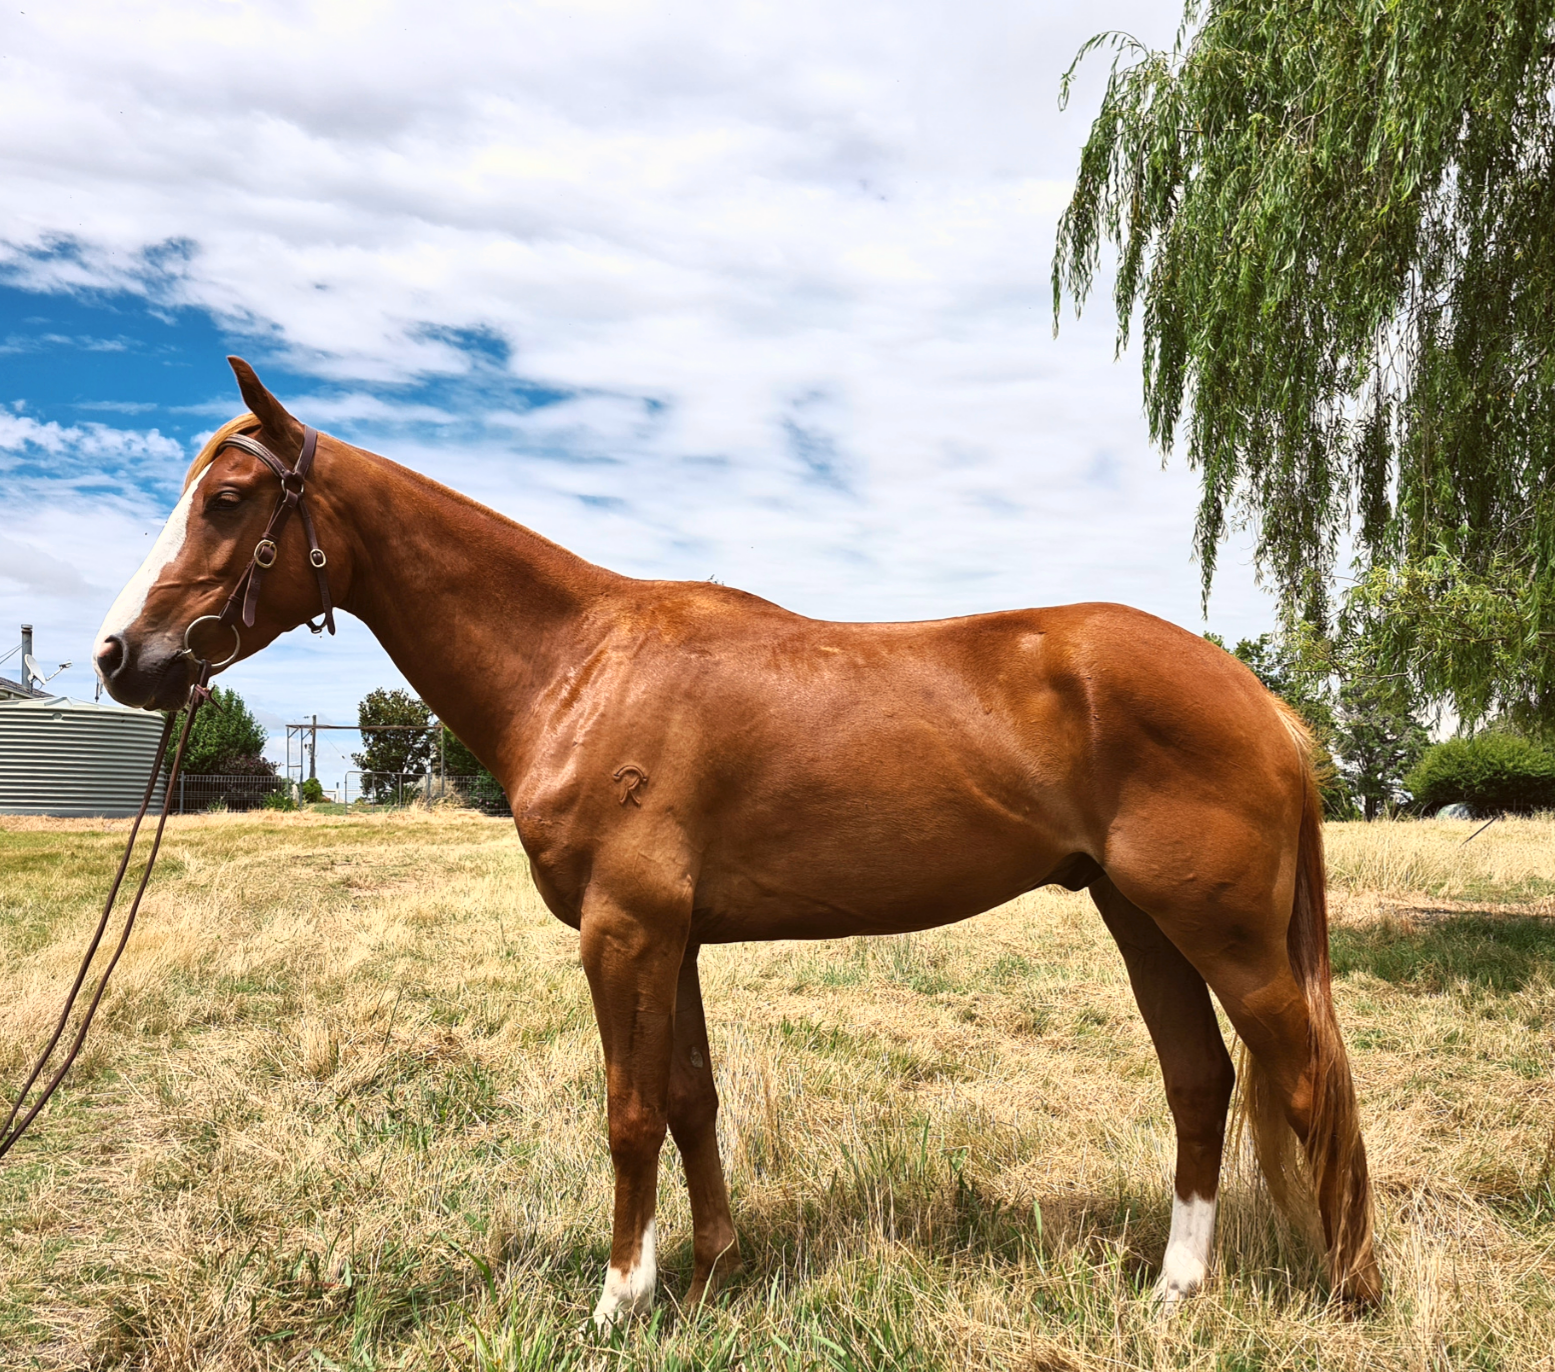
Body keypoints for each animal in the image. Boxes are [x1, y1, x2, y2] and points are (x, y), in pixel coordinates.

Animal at [93, 357, 1381, 1322]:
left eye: (227, 501)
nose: (121, 655)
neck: (576, 665)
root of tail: (1261, 702)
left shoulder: (623, 932)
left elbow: (628, 1110)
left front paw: (621, 1296)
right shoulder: (674, 938)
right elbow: (691, 1098)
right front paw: (710, 1267)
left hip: (1225, 936)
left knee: (1306, 1076)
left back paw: (1353, 1290)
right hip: (1142, 917)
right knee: (1201, 1080)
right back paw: (1176, 1288)